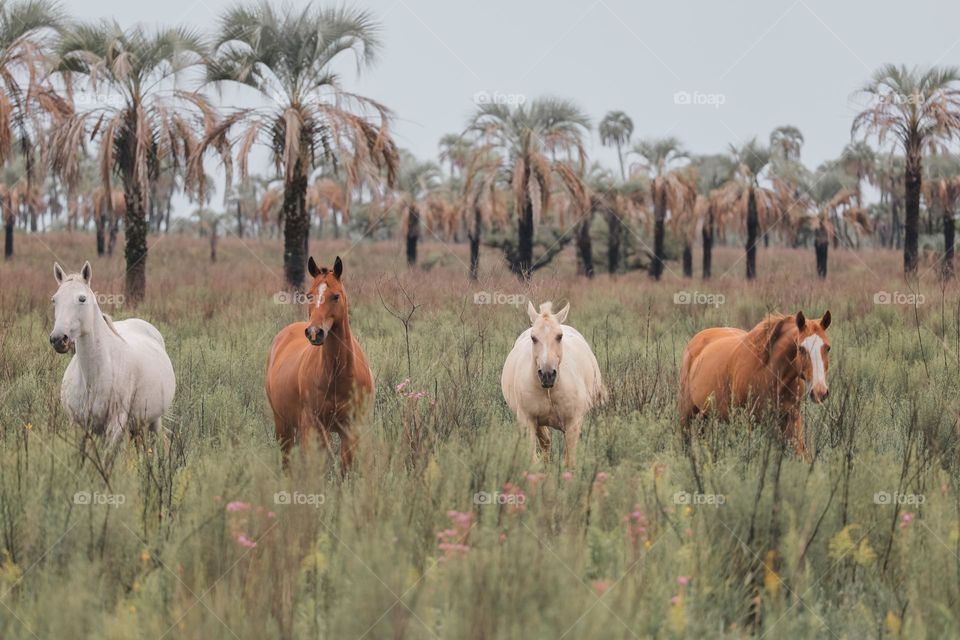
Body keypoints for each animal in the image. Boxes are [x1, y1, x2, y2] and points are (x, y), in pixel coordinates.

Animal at [49, 262, 176, 442]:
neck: (93, 377)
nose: (58, 339)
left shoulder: (115, 426)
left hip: (154, 421)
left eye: (82, 299)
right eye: (54, 300)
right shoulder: (77, 425)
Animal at [268, 254, 376, 470]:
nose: (314, 332)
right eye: (309, 295)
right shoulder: (313, 427)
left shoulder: (350, 428)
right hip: (283, 425)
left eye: (335, 296)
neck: (337, 375)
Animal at [498, 302, 604, 468]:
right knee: (546, 443)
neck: (550, 391)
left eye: (559, 336)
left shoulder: (573, 423)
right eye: (533, 338)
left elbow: (569, 461)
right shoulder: (527, 421)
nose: (547, 374)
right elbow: (533, 459)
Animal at [680, 312, 828, 458]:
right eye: (801, 348)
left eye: (828, 348)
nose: (820, 391)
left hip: (704, 414)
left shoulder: (792, 418)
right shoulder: (744, 421)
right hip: (687, 414)